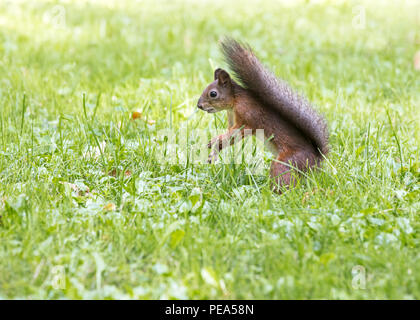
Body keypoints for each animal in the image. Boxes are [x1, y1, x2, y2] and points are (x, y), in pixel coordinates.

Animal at [195, 38, 330, 191]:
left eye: (213, 93)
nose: (199, 105)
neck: (235, 101)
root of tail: (316, 160)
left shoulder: (246, 118)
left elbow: (235, 133)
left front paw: (214, 140)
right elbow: (228, 137)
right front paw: (214, 152)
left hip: (286, 163)